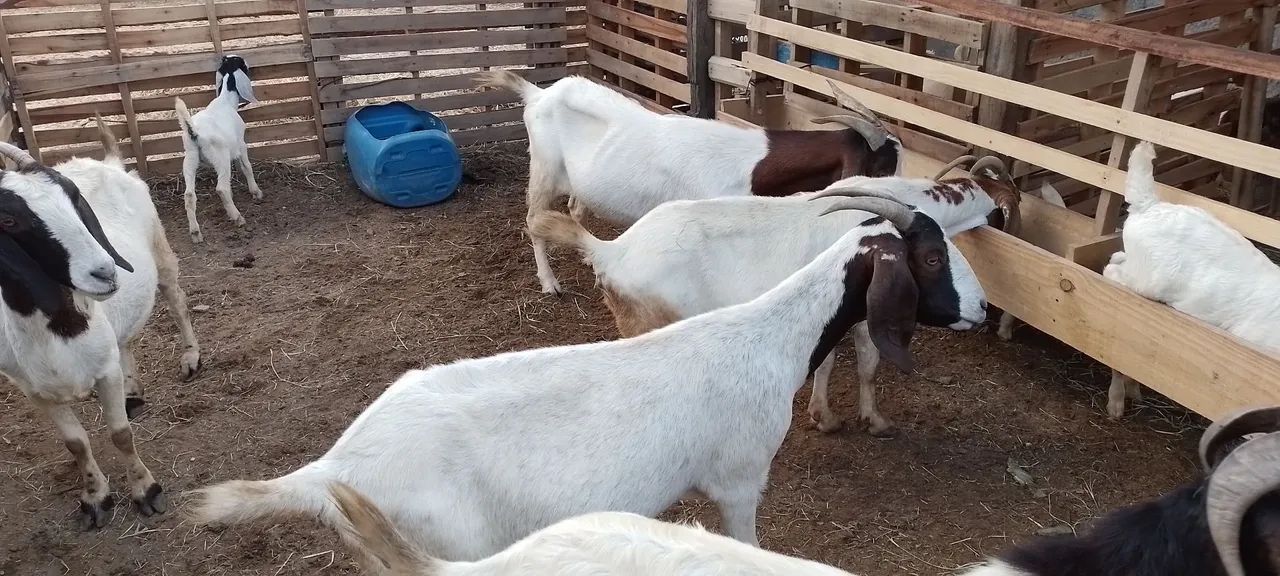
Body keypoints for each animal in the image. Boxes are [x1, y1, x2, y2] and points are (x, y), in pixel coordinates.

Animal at [0, 116, 201, 529]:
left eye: (73, 199)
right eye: (8, 219)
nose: (105, 272)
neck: (57, 331)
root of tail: (110, 162)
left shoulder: (104, 372)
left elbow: (120, 435)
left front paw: (146, 491)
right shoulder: (36, 393)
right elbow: (76, 444)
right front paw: (95, 498)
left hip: (161, 253)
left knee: (177, 302)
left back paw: (191, 357)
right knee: (124, 340)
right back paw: (132, 391)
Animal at [173, 54, 263, 243]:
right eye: (241, 64)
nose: (249, 62)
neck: (225, 101)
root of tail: (194, 131)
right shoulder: (241, 144)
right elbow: (247, 167)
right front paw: (256, 192)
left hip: (190, 159)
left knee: (189, 195)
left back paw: (195, 233)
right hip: (220, 157)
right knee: (221, 188)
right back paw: (237, 217)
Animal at [477, 71, 902, 294]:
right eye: (882, 168)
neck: (751, 164)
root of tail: (538, 93)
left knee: (573, 209)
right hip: (543, 169)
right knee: (533, 220)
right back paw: (549, 283)